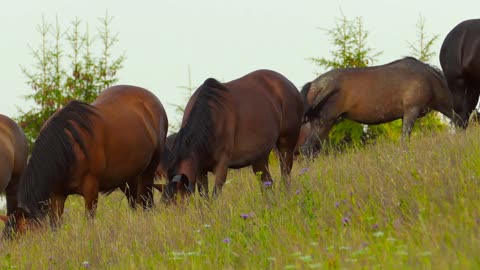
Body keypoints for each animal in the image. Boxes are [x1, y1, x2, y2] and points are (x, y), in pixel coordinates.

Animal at [1, 85, 168, 238]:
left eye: (27, 234)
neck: (69, 148)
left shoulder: (91, 190)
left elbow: (89, 221)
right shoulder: (58, 195)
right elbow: (56, 225)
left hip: (149, 170)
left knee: (146, 203)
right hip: (128, 177)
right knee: (135, 203)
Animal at [161, 69, 304, 202]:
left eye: (179, 201)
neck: (211, 118)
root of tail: (288, 84)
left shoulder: (222, 166)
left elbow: (215, 195)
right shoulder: (200, 169)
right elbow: (205, 197)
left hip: (286, 145)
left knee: (285, 176)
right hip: (260, 156)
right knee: (267, 184)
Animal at [302, 56, 456, 155]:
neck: (430, 81)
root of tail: (313, 84)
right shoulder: (411, 111)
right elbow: (404, 140)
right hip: (324, 122)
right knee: (307, 149)